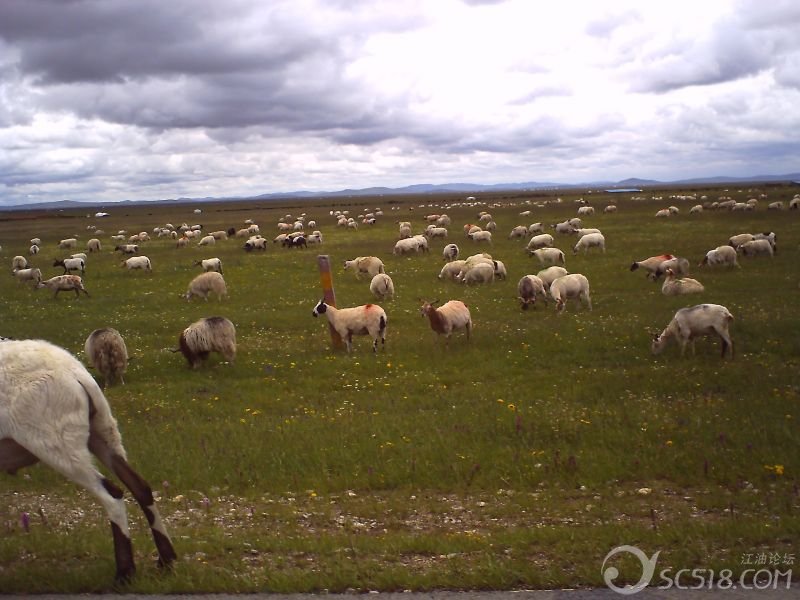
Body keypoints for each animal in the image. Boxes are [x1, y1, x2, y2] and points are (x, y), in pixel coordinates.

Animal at [0, 338, 176, 581]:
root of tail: (77, 373)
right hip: (102, 431)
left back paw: (125, 573)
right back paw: (167, 561)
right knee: (140, 486)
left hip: (57, 443)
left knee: (112, 495)